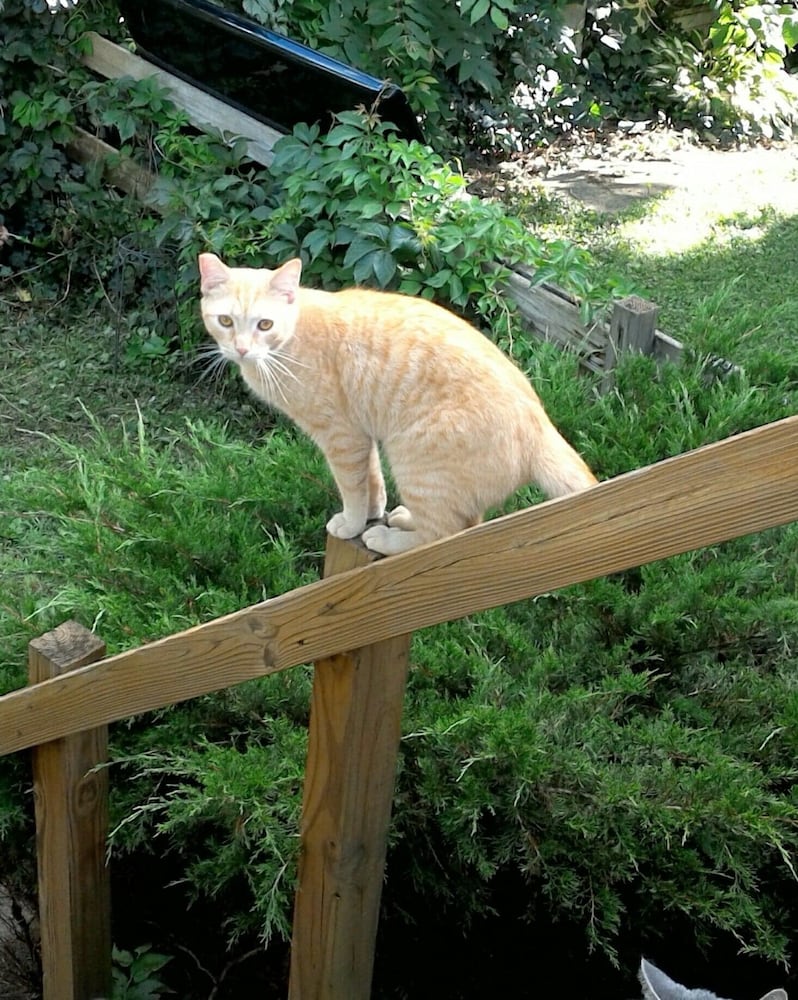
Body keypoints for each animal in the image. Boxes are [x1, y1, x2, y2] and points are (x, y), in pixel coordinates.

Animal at [200, 254, 600, 560]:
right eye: (226, 321)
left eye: (264, 324)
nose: (241, 349)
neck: (289, 342)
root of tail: (541, 428)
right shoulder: (361, 435)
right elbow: (372, 480)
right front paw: (374, 512)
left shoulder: (342, 437)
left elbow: (352, 488)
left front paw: (353, 524)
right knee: (464, 526)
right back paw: (402, 520)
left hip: (415, 461)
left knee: (442, 535)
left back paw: (388, 539)